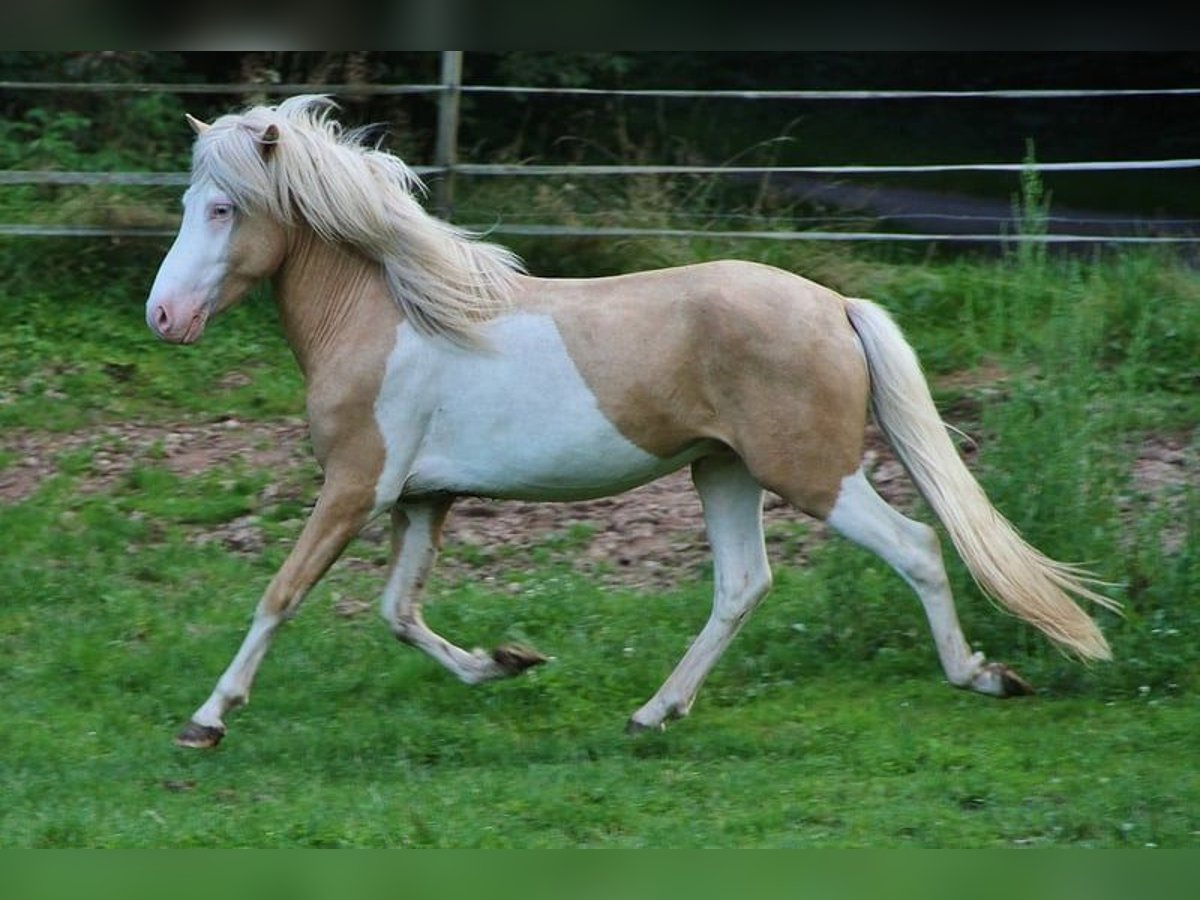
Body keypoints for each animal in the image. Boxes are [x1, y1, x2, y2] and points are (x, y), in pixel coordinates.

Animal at [146, 96, 1118, 749]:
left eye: (223, 208)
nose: (163, 317)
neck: (389, 316)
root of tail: (836, 305)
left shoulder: (355, 488)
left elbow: (281, 594)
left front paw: (206, 719)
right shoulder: (422, 499)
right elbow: (398, 612)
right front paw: (505, 662)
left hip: (811, 473)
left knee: (915, 547)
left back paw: (984, 677)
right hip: (721, 471)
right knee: (743, 585)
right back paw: (654, 713)